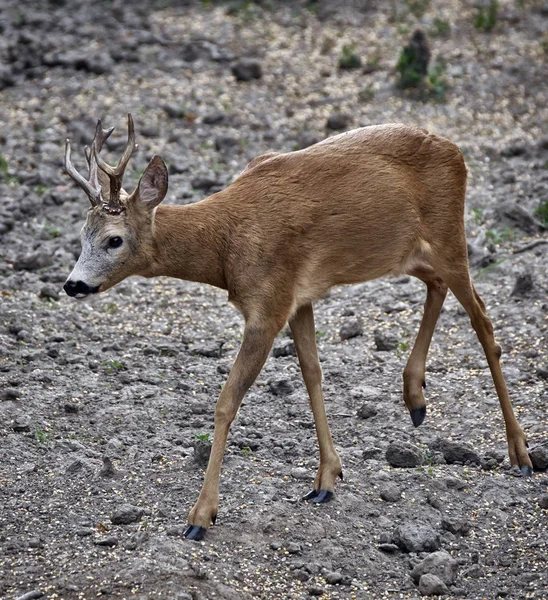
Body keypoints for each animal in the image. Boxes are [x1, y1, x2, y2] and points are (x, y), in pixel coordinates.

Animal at [62, 115, 532, 540]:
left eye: (114, 239)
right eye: (81, 234)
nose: (72, 284)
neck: (225, 247)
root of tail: (456, 151)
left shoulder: (267, 306)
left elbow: (226, 403)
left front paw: (201, 516)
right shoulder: (298, 298)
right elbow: (311, 372)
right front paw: (326, 479)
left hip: (449, 232)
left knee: (484, 322)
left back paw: (520, 452)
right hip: (406, 252)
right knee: (437, 286)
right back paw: (415, 397)